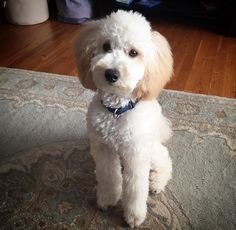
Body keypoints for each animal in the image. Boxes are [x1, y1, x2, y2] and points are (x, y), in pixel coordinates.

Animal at [74, 9, 174, 227]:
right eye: (106, 46)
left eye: (133, 53)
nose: (111, 73)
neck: (116, 111)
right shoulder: (103, 148)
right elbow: (109, 176)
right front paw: (107, 199)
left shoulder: (136, 154)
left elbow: (135, 188)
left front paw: (134, 216)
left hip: (151, 149)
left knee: (165, 158)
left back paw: (157, 182)